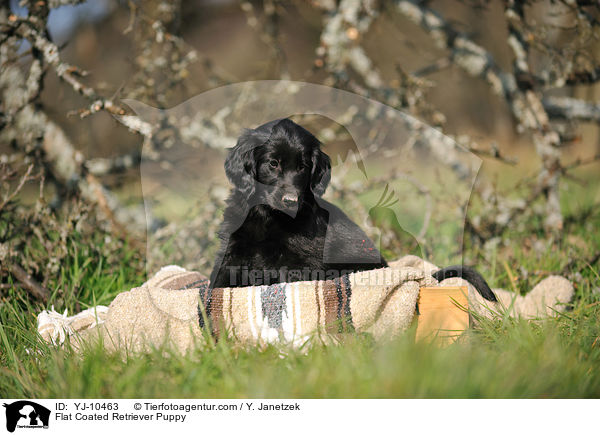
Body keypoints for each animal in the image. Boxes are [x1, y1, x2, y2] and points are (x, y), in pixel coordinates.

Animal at [211, 118, 496, 304]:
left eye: (303, 167)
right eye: (273, 163)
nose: (291, 200)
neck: (269, 218)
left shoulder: (304, 264)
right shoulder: (233, 250)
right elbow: (218, 282)